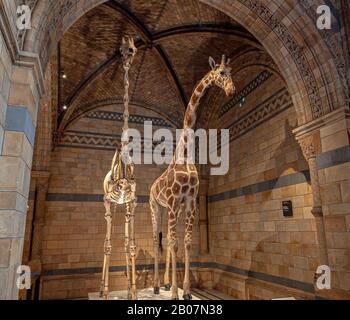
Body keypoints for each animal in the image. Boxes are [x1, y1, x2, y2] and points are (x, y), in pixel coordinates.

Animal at [149, 54, 234, 300]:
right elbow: (175, 244)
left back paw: (165, 283)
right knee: (155, 240)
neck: (184, 154)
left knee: (166, 240)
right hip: (155, 207)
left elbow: (184, 243)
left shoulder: (188, 201)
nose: (232, 91)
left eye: (231, 72)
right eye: (221, 73)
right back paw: (156, 285)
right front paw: (175, 293)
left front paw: (185, 291)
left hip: (170, 209)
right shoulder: (173, 201)